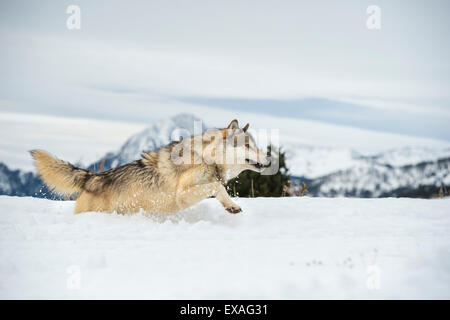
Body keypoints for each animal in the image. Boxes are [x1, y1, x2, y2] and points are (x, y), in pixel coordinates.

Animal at [32, 120, 270, 215]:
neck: (205, 157)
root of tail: (93, 177)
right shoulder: (182, 194)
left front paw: (232, 206)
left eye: (255, 145)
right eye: (248, 145)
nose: (269, 157)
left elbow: (219, 189)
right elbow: (216, 186)